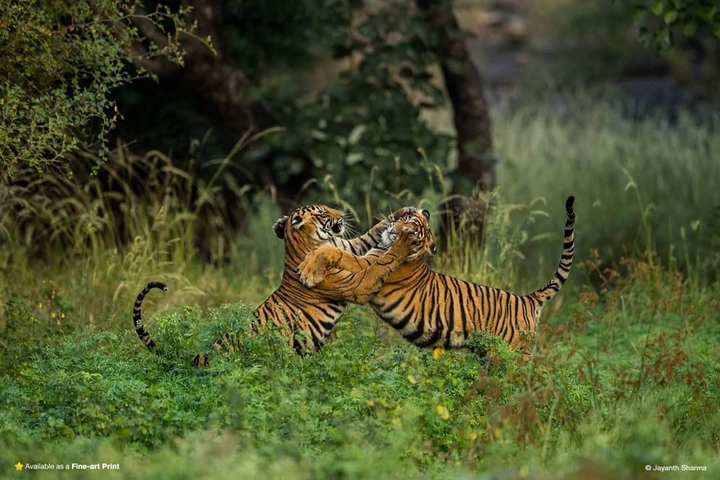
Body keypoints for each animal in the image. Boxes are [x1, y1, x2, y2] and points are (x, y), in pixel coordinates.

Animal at [132, 204, 422, 365]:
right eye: (322, 212)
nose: (342, 214)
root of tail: (201, 356)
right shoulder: (357, 281)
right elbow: (381, 263)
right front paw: (403, 241)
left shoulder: (349, 246)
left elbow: (372, 233)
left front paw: (406, 212)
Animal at [298, 196, 576, 358]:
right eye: (407, 220)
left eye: (413, 234)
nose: (395, 232)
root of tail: (529, 299)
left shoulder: (368, 266)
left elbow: (335, 251)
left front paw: (309, 270)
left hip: (513, 353)